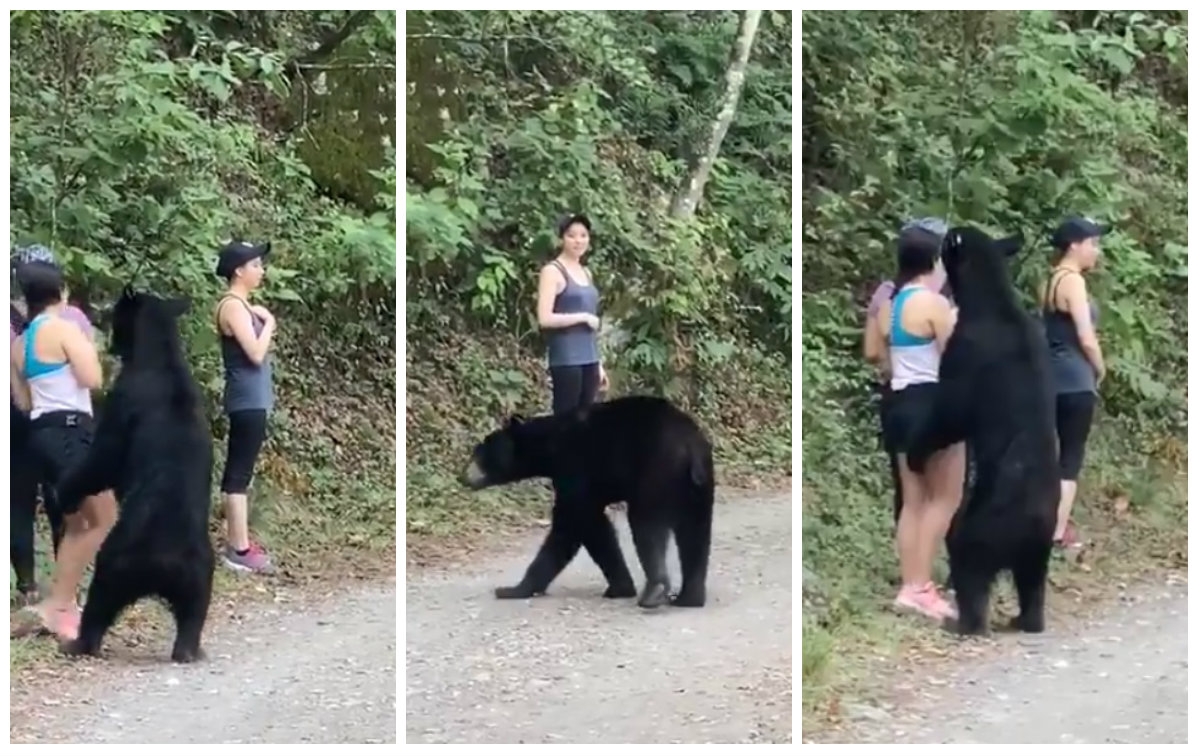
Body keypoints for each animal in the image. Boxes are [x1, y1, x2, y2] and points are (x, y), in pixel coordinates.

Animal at [55, 290, 216, 662]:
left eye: (116, 315)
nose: (108, 337)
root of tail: (165, 567)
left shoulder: (125, 400)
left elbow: (102, 460)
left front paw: (65, 492)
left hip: (117, 559)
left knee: (100, 599)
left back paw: (78, 643)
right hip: (201, 571)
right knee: (194, 610)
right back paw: (190, 649)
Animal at [463, 400, 715, 614]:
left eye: (479, 454)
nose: (463, 477)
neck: (549, 445)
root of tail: (691, 446)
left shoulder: (574, 468)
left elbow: (576, 524)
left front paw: (513, 589)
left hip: (657, 471)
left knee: (647, 526)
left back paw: (654, 592)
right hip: (698, 488)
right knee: (695, 533)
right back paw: (689, 597)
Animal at [907, 226, 1060, 638]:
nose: (941, 235)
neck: (989, 301)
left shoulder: (966, 352)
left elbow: (950, 413)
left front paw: (916, 451)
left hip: (982, 523)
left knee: (968, 561)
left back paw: (965, 622)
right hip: (1039, 547)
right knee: (1032, 582)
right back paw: (1028, 619)